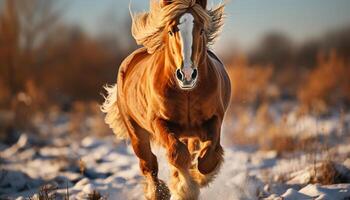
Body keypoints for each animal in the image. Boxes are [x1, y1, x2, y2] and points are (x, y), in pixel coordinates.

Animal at [102, 0, 231, 199]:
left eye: (201, 30)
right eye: (171, 31)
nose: (187, 75)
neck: (187, 93)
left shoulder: (213, 119)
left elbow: (207, 158)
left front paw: (198, 179)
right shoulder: (159, 122)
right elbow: (177, 154)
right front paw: (185, 188)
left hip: (189, 134)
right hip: (136, 133)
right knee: (148, 163)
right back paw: (158, 192)